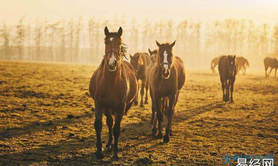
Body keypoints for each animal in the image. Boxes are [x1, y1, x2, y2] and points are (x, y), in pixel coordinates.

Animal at [88, 26, 137, 159]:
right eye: (106, 42)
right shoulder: (99, 104)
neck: (111, 83)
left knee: (112, 124)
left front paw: (115, 153)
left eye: (119, 43)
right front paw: (99, 151)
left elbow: (117, 129)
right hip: (107, 108)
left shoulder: (120, 107)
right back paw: (109, 144)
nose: (112, 63)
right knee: (109, 122)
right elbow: (98, 125)